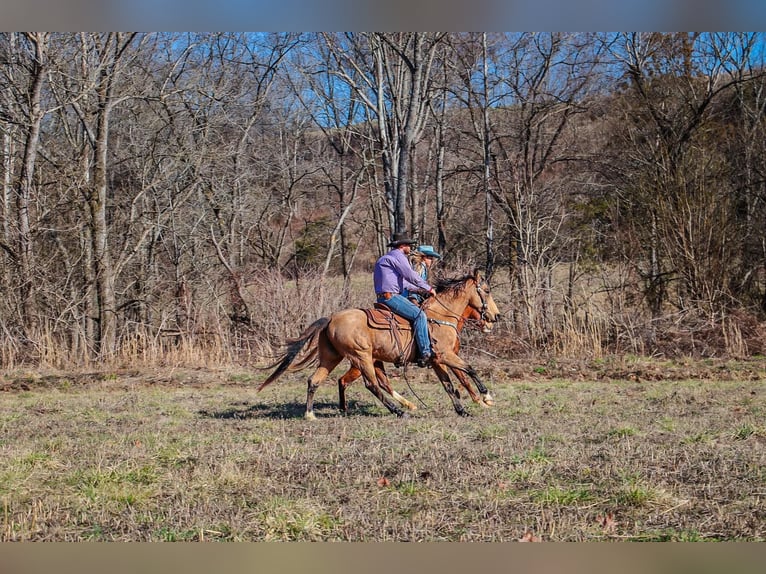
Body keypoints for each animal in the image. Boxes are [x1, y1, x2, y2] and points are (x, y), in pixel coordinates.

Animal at [338, 306, 498, 414]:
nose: (492, 322)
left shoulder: (442, 359)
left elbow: (458, 380)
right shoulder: (445, 356)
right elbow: (465, 375)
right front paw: (483, 400)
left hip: (374, 363)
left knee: (381, 383)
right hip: (362, 363)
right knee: (349, 381)